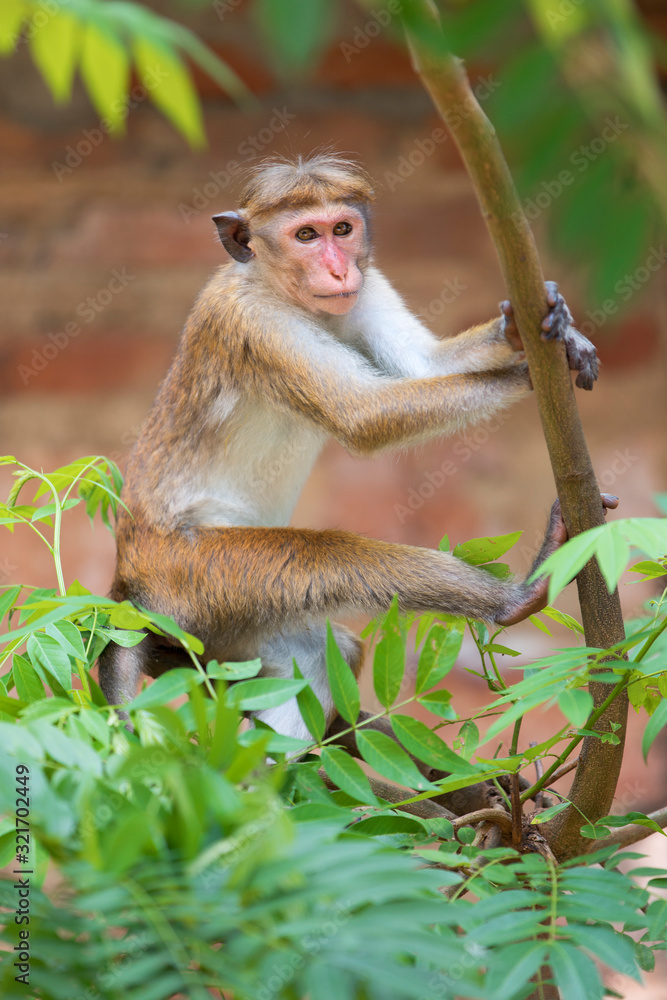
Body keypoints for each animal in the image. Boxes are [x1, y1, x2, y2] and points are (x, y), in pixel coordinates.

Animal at [99, 152, 613, 741]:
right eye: (305, 234)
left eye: (342, 229)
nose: (340, 270)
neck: (281, 290)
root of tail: (129, 581)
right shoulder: (254, 321)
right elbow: (364, 415)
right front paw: (526, 371)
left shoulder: (370, 288)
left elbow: (424, 365)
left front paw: (533, 328)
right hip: (194, 568)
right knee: (329, 558)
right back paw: (518, 597)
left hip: (223, 629)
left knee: (322, 657)